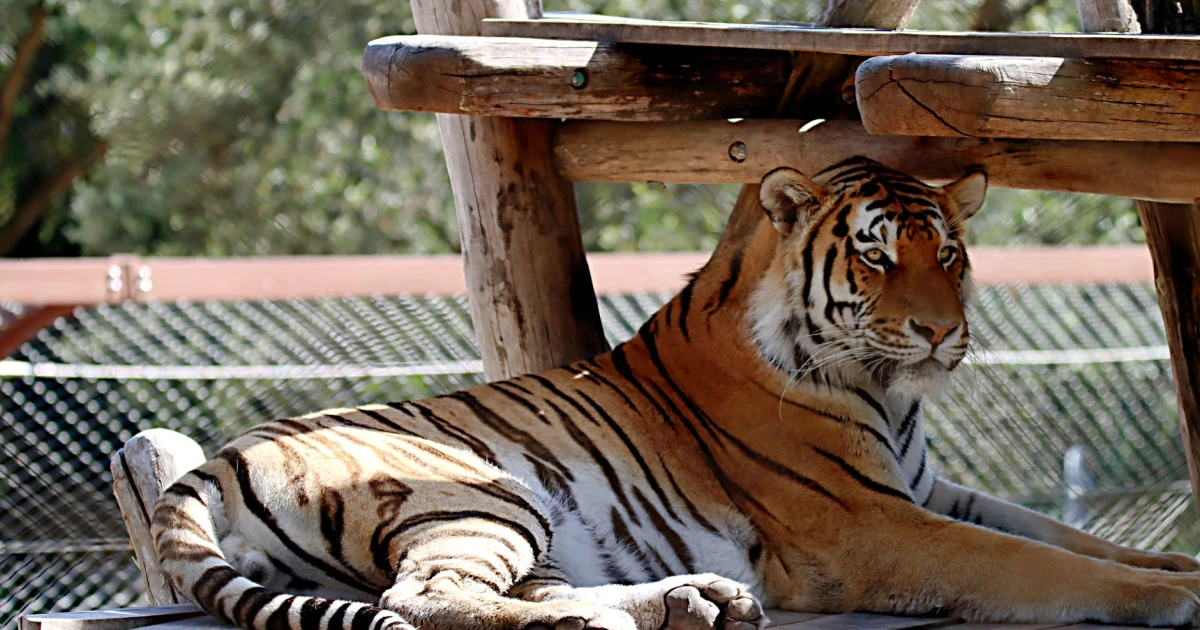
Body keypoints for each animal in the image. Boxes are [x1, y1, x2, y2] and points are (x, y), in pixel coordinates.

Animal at [152, 157, 1200, 630]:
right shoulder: (868, 525)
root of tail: (224, 453)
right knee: (429, 602)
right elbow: (1044, 565)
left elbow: (1069, 535)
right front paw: (1170, 596)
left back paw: (680, 602)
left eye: (947, 254)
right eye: (874, 256)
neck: (885, 390)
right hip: (479, 492)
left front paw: (1178, 567)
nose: (943, 330)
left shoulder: (928, 491)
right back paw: (608, 615)